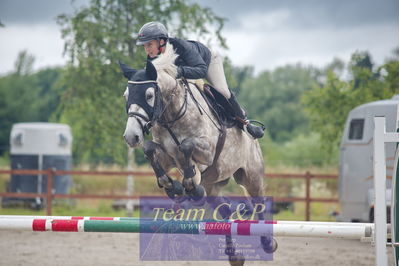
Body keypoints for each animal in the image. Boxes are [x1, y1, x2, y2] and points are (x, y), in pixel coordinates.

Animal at [119, 43, 276, 264]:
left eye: (149, 95)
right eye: (126, 95)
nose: (131, 136)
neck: (172, 114)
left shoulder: (207, 151)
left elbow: (186, 146)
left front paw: (188, 185)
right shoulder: (167, 157)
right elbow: (150, 148)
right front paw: (172, 185)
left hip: (250, 175)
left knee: (259, 202)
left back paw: (267, 243)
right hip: (213, 184)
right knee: (225, 208)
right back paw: (234, 256)